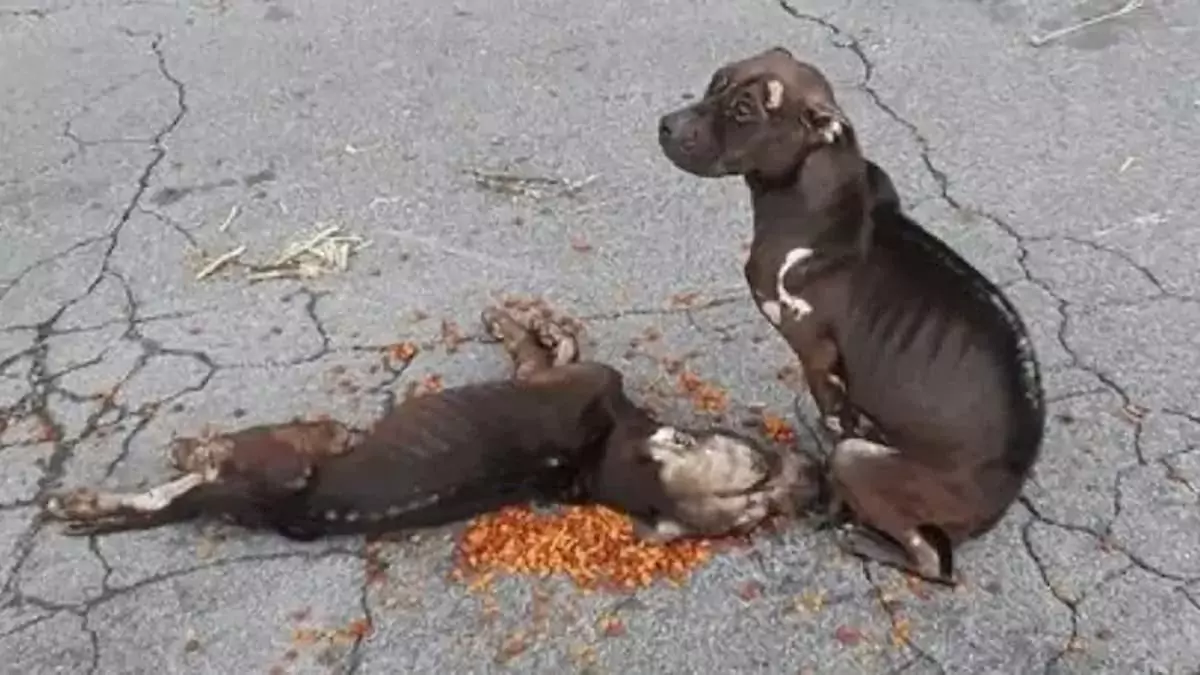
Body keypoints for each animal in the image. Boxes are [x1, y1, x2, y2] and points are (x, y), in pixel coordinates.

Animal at [44, 303, 816, 540]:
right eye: (762, 484)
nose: (809, 479)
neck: (603, 458)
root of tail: (269, 508)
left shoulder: (558, 377)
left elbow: (547, 348)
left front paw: (524, 324)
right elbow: (554, 342)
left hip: (281, 458)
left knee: (194, 475)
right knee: (170, 494)